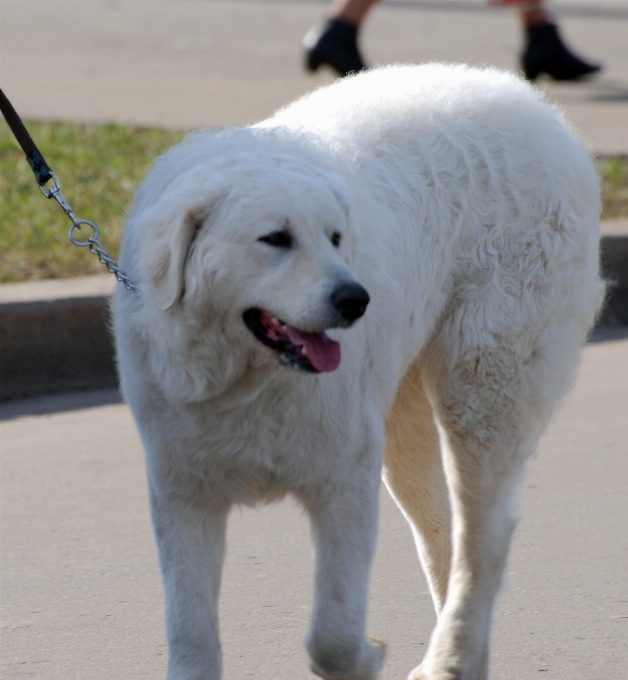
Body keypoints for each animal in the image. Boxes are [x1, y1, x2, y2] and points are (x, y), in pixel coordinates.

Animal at [113, 65, 604, 680]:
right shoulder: (183, 493)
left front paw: (369, 655)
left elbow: (333, 633)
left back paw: (450, 658)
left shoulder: (343, 479)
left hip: (484, 389)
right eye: (276, 238)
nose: (355, 299)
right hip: (402, 423)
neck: (250, 380)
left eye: (336, 238)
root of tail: (534, 105)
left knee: (482, 542)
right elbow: (191, 637)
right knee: (440, 531)